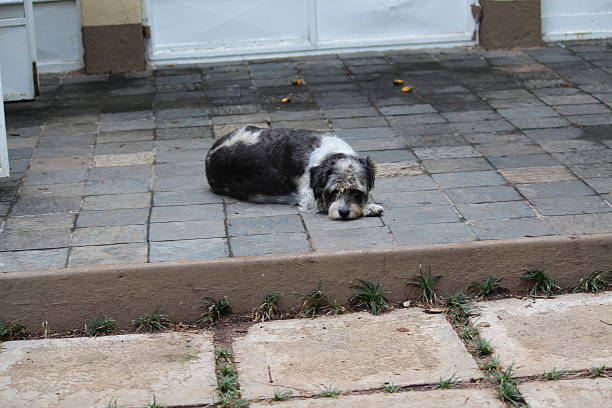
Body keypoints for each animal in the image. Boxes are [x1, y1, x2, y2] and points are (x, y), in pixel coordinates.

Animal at [203, 126, 382, 220]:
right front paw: (369, 207)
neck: (328, 154)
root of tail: (209, 154)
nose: (344, 213)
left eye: (356, 191)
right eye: (333, 191)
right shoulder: (309, 199)